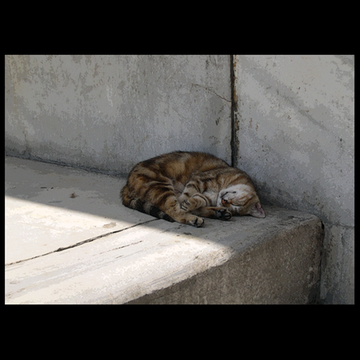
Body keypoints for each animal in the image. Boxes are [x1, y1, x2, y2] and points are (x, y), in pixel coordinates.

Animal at [121, 150, 264, 226]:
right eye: (238, 203)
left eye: (236, 207)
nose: (225, 202)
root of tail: (126, 185)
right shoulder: (199, 179)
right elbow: (188, 195)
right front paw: (184, 202)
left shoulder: (205, 195)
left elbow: (198, 200)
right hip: (160, 184)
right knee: (172, 210)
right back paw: (196, 216)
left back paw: (219, 213)